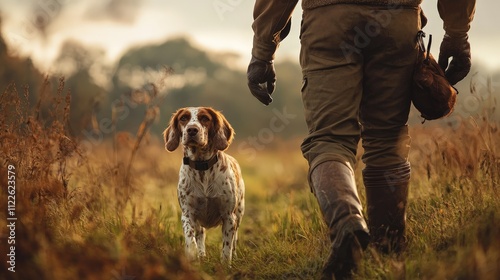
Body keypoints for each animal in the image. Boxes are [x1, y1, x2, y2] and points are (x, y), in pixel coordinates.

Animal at [164, 106, 244, 264]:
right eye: (183, 118)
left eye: (205, 118)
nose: (192, 130)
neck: (202, 166)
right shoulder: (188, 214)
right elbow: (191, 238)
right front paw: (193, 254)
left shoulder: (229, 217)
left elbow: (227, 248)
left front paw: (226, 265)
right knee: (200, 235)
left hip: (238, 214)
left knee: (235, 241)